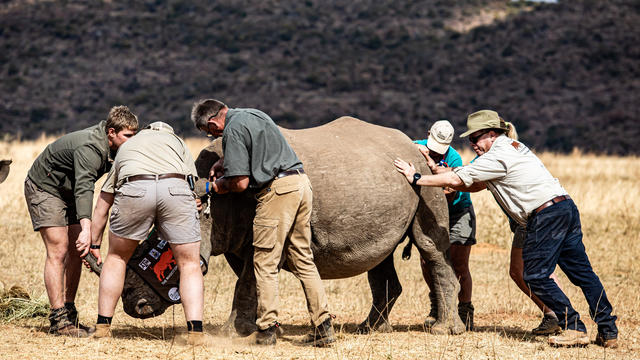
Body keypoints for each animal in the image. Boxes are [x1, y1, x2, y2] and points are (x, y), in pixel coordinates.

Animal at [110, 117, 462, 334]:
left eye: (158, 250)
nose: (134, 305)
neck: (209, 205)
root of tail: (414, 147)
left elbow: (247, 281)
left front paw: (230, 333)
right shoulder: (236, 236)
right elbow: (250, 279)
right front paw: (257, 327)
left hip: (422, 175)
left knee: (430, 247)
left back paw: (443, 330)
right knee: (381, 257)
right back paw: (370, 329)